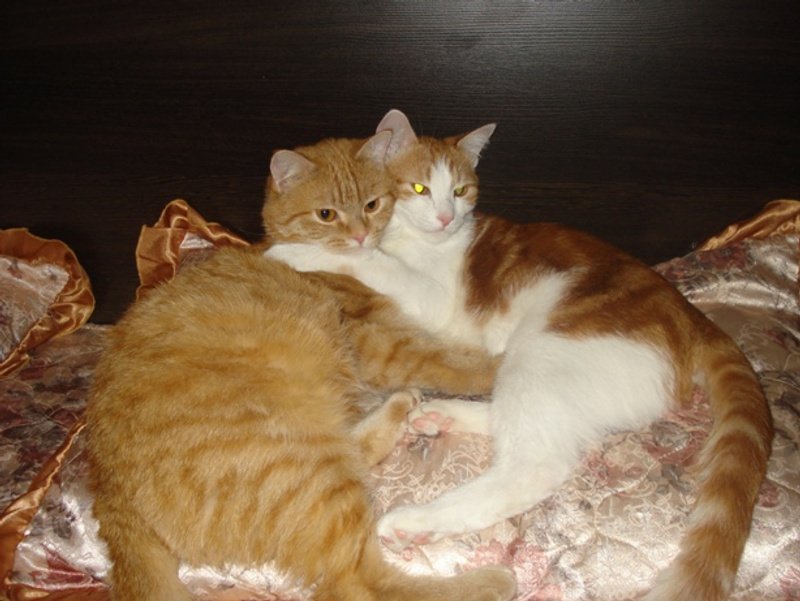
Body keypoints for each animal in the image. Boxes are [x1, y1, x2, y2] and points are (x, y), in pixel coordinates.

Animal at [85, 131, 517, 601]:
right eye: (327, 215)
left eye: (372, 204)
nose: (361, 236)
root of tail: (107, 490)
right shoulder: (382, 344)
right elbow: (455, 359)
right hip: (300, 464)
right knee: (360, 580)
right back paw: (489, 582)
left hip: (316, 442)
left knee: (355, 453)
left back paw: (398, 410)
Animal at [263, 110, 774, 601]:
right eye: (419, 188)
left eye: (461, 190)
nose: (446, 217)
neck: (415, 240)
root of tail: (694, 318)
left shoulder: (431, 297)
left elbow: (367, 262)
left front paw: (295, 251)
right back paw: (439, 415)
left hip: (544, 351)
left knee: (533, 465)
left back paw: (416, 520)